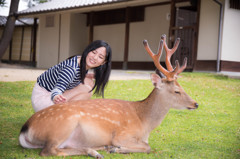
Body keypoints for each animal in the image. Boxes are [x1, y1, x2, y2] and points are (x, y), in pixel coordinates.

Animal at [18, 34, 198, 158]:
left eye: (182, 87)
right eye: (176, 91)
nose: (196, 104)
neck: (144, 123)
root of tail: (25, 129)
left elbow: (146, 145)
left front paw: (114, 148)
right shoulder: (122, 134)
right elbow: (147, 147)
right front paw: (117, 148)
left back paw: (100, 149)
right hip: (62, 125)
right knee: (49, 151)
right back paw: (99, 151)